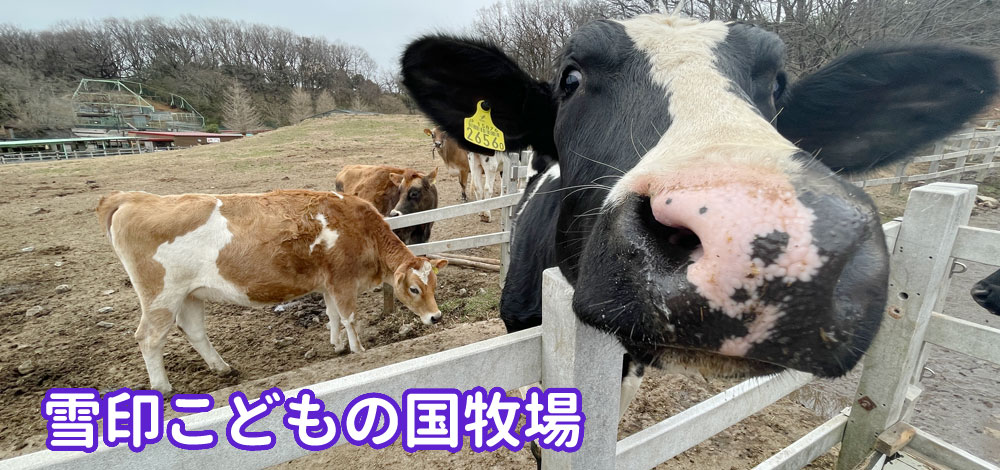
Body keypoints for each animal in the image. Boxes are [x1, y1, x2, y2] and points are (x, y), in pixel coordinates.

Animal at [98, 189, 450, 394]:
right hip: (161, 296)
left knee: (195, 331)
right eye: (414, 288)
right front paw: (357, 349)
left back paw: (223, 369)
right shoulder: (342, 281)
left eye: (434, 284)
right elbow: (349, 317)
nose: (436, 317)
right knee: (149, 338)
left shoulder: (327, 283)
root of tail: (133, 198)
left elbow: (332, 315)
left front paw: (336, 345)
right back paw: (162, 388)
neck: (358, 226)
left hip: (189, 294)